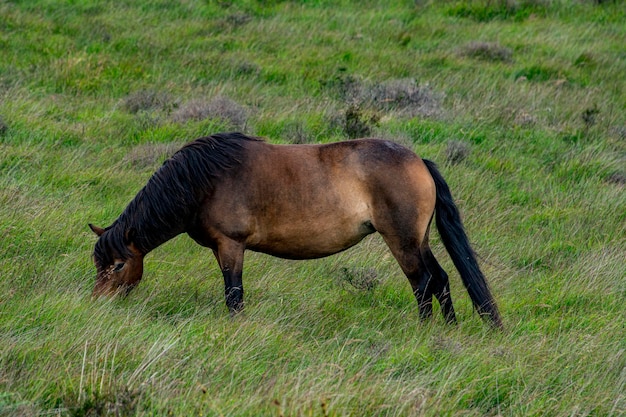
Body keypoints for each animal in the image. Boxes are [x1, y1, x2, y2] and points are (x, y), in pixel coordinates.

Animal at [89, 132, 502, 328]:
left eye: (118, 265)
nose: (98, 304)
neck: (203, 181)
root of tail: (418, 161)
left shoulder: (230, 246)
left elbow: (234, 295)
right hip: (419, 239)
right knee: (441, 279)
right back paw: (448, 329)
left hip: (402, 241)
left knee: (422, 283)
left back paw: (425, 330)